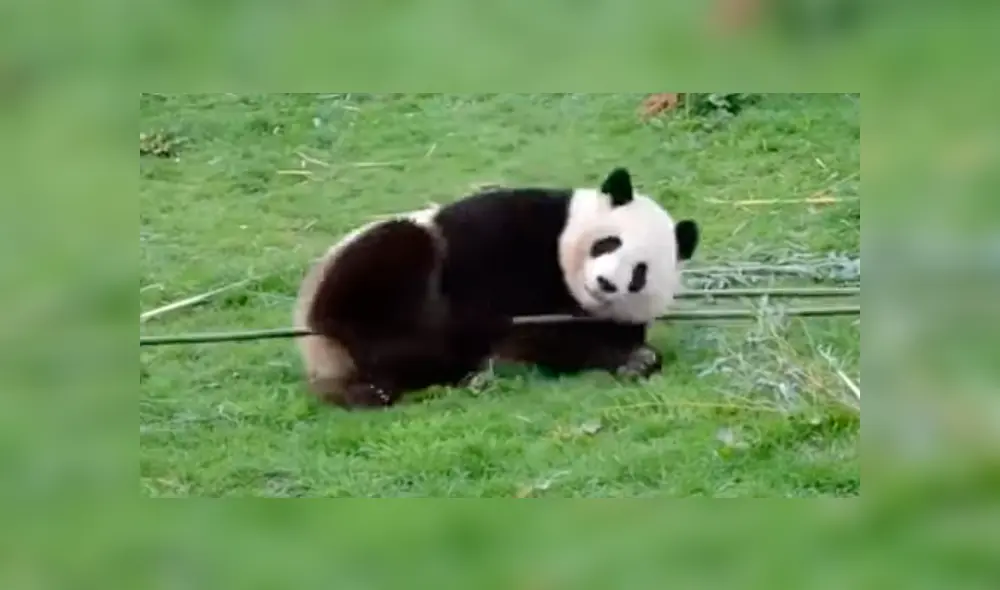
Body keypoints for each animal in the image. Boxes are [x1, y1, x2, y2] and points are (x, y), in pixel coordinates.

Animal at [294, 166, 699, 410]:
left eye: (639, 272)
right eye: (608, 243)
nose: (605, 282)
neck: (569, 285)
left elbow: (567, 342)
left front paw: (637, 360)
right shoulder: (516, 226)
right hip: (362, 273)